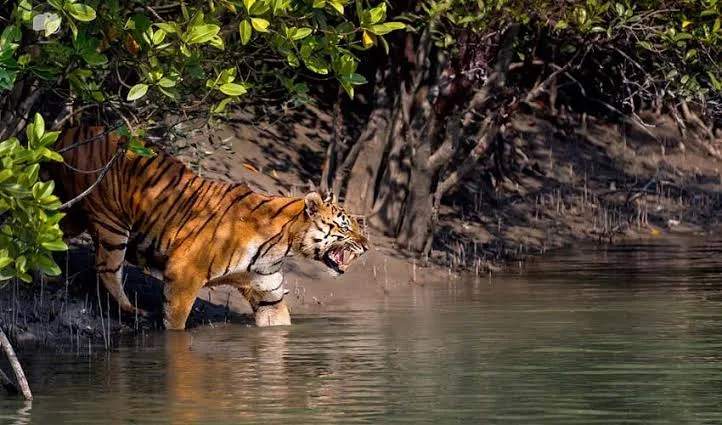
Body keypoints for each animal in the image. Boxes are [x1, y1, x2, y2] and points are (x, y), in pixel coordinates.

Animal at [46, 125, 366, 328]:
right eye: (345, 227)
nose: (366, 245)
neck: (281, 245)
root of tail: (72, 130)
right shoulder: (183, 273)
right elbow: (176, 321)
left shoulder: (268, 293)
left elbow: (278, 324)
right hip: (111, 224)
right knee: (107, 268)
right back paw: (131, 310)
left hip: (73, 212)